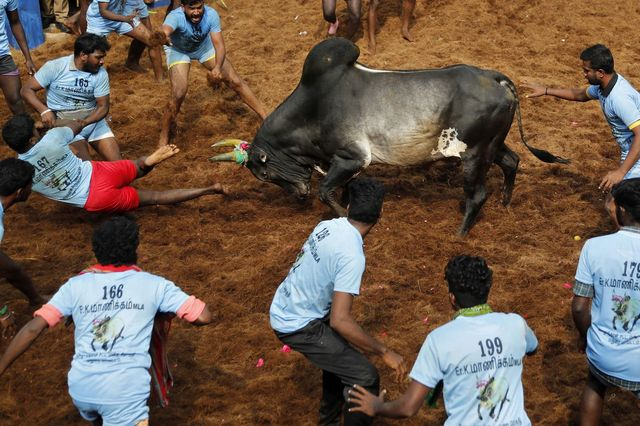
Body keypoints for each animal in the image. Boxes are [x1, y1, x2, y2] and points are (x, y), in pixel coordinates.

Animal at [212, 36, 568, 235]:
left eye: (264, 173)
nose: (298, 194)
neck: (313, 106)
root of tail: (496, 78)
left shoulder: (352, 158)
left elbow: (327, 193)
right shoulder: (345, 165)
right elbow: (343, 191)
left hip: (473, 152)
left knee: (478, 194)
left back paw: (461, 233)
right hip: (493, 145)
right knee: (512, 161)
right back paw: (506, 203)